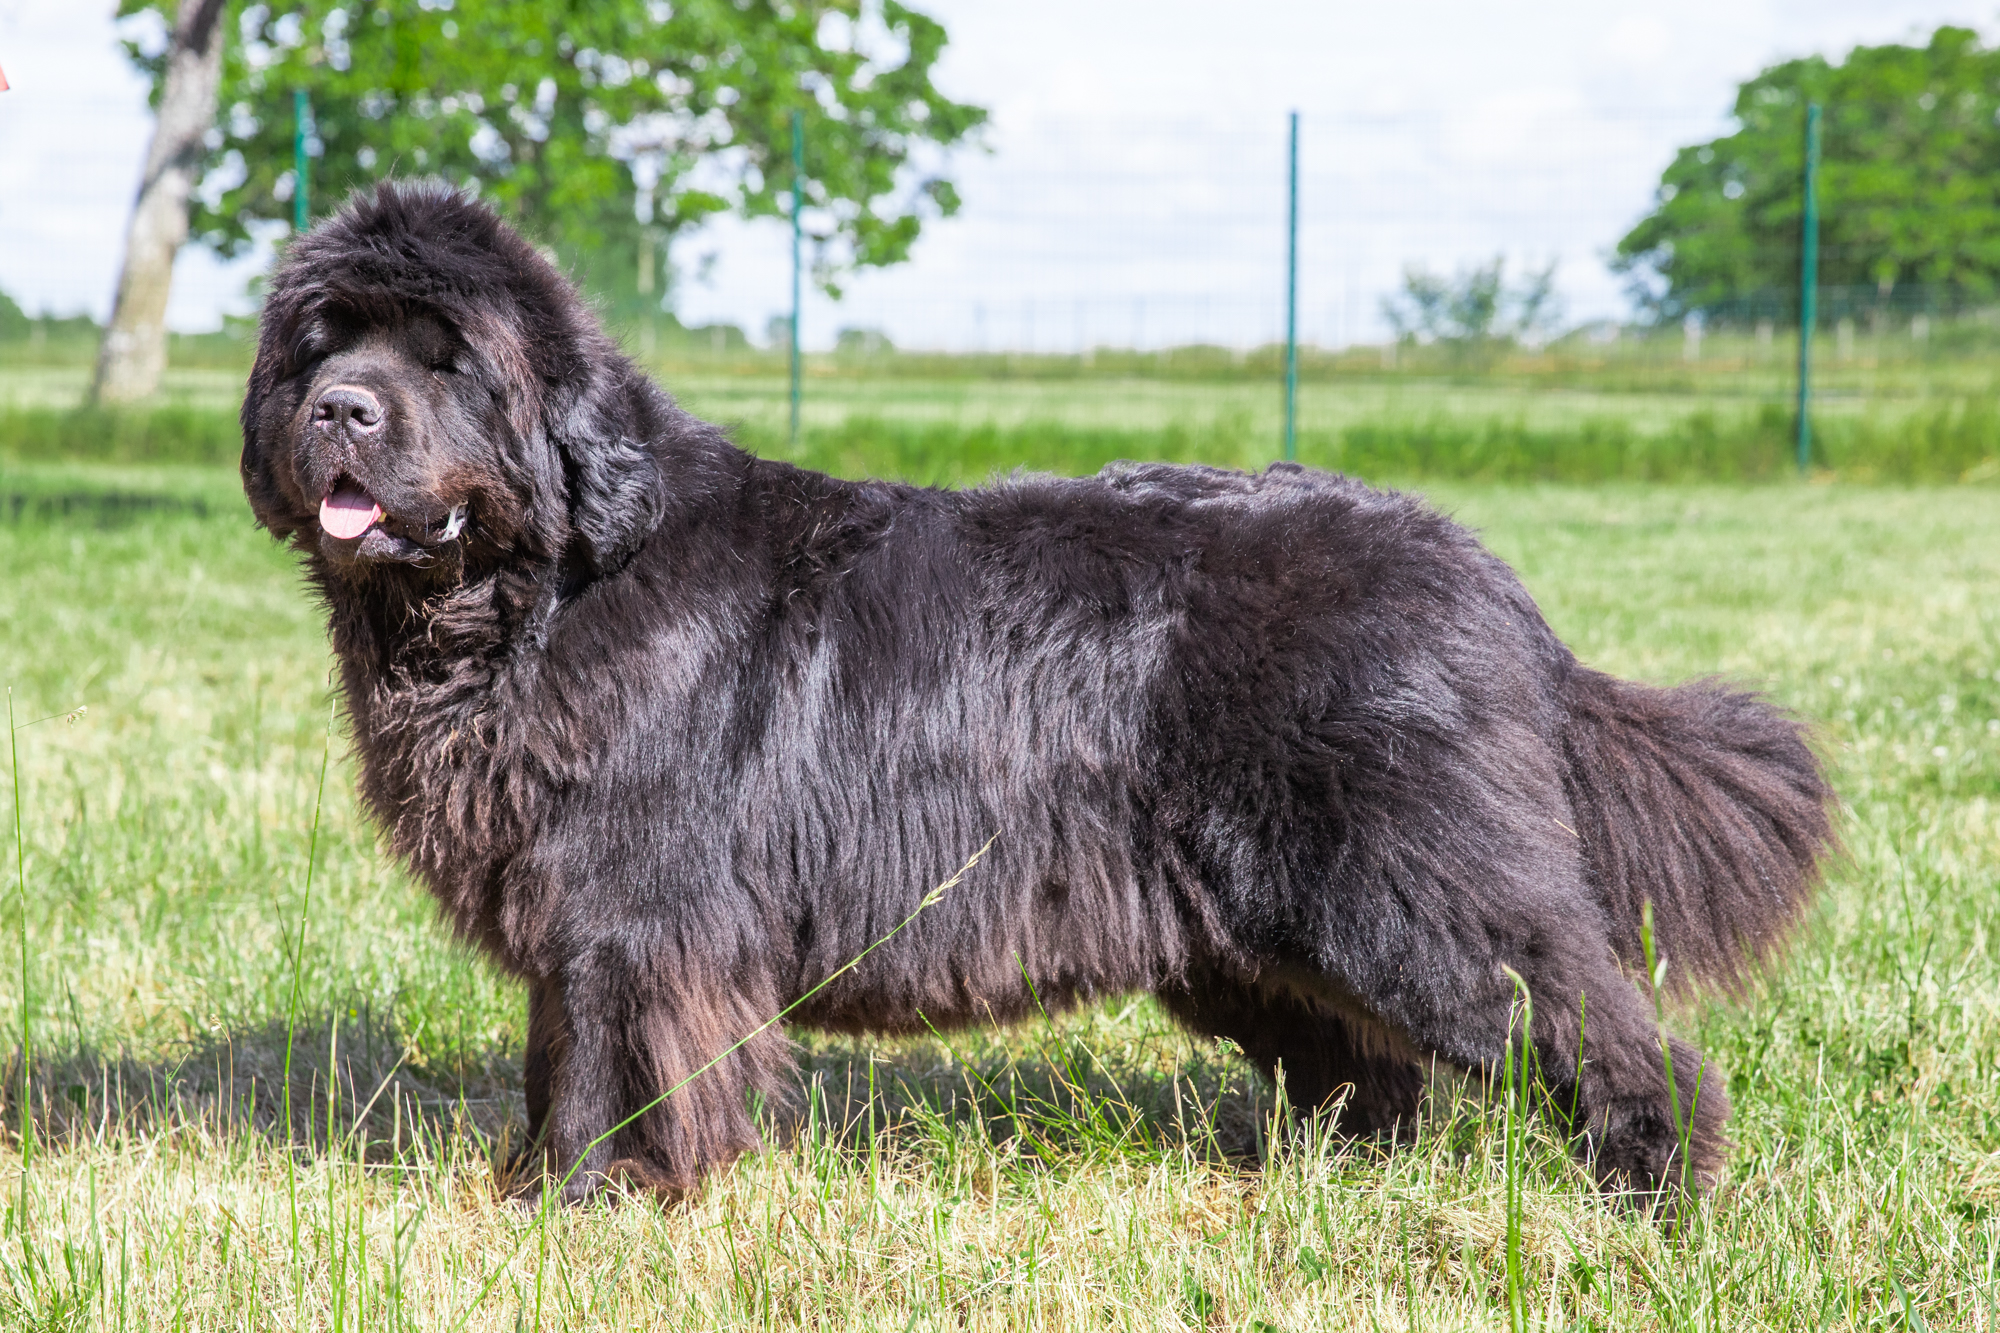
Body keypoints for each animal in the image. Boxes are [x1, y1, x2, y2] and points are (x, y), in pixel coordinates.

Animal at [242, 182, 1832, 1200]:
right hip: (1254, 924)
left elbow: (603, 1054)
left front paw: (583, 1198)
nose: (341, 410)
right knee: (1366, 1064)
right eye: (320, 345)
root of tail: (1479, 569)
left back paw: (1655, 1182)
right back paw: (1325, 1178)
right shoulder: (572, 898)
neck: (536, 591)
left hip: (1411, 881)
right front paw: (535, 1184)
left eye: (448, 358)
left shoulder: (629, 903)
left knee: (1582, 1017)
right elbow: (554, 1050)